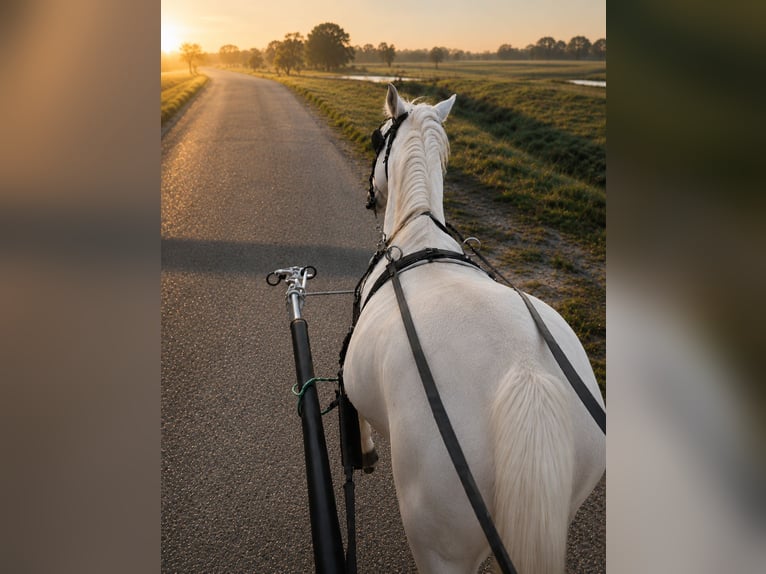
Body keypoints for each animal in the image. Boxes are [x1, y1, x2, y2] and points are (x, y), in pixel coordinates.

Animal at [343, 84, 605, 574]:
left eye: (377, 136)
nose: (370, 198)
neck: (419, 230)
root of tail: (526, 377)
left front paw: (363, 450)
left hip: (439, 544)